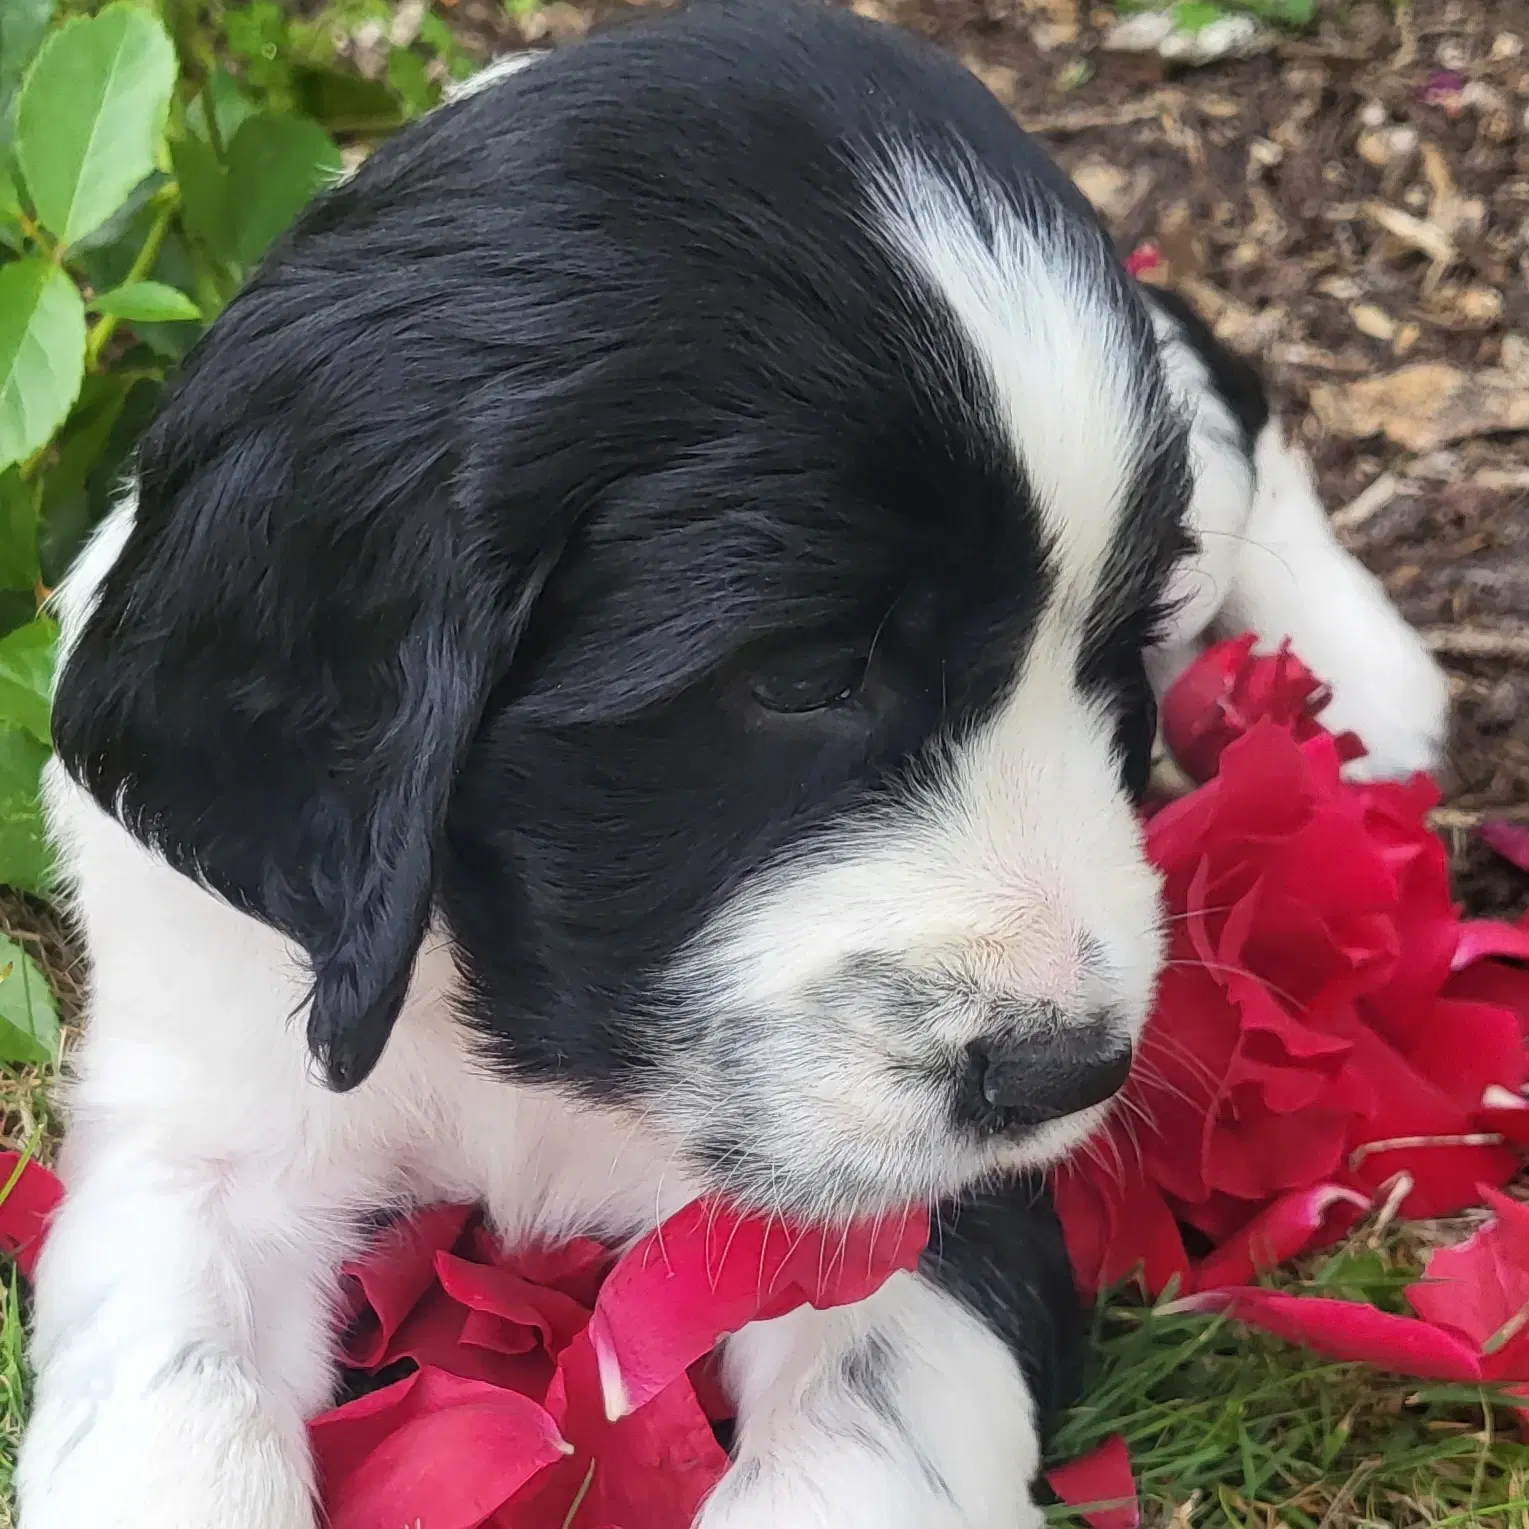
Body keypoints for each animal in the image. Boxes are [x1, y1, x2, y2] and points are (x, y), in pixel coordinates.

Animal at [14, 5, 1443, 1522]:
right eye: (808, 674)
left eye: (1113, 653)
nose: (1068, 1072)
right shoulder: (199, 1111)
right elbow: (180, 1394)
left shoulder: (929, 1220)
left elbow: (858, 1443)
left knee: (1230, 394)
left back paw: (1370, 688)